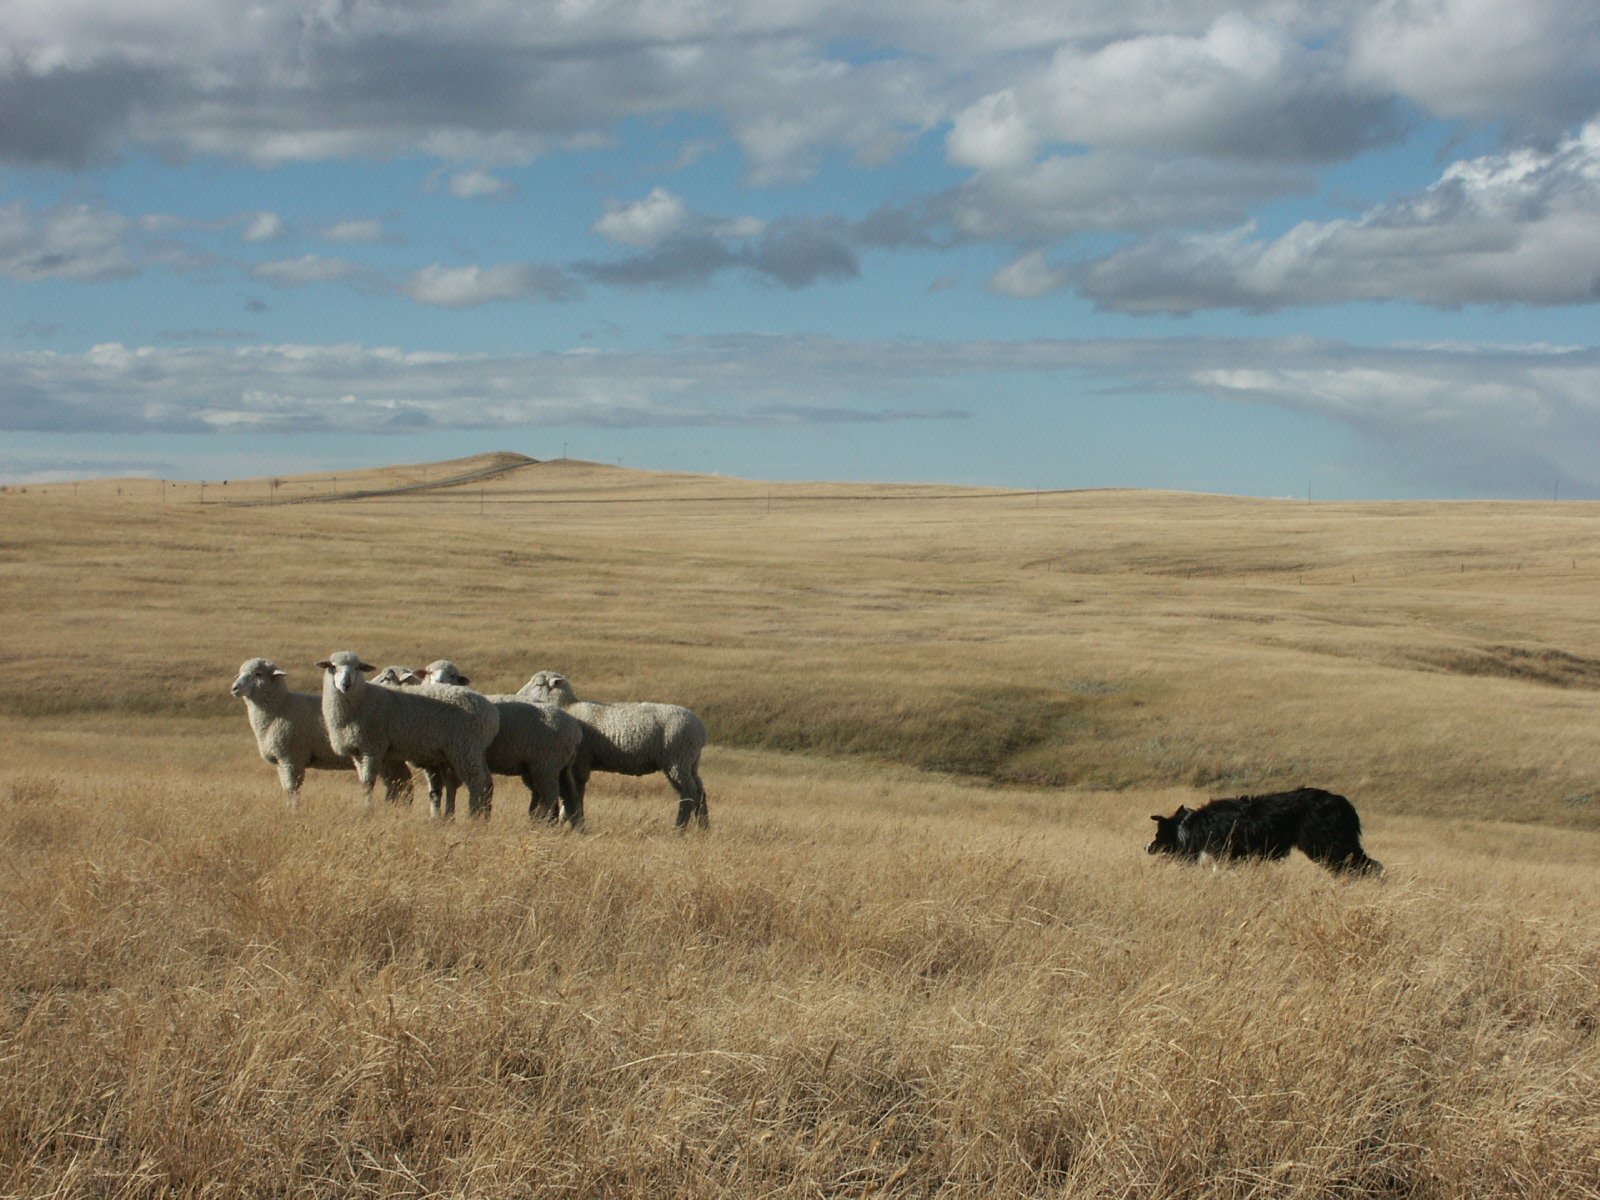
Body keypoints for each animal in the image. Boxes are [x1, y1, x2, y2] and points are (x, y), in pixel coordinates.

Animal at [233, 662, 419, 812]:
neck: (280, 707)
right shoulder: (282, 760)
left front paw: (293, 812)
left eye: (258, 674)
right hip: (391, 758)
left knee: (400, 785)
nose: (234, 688)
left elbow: (293, 790)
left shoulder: (292, 757)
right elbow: (286, 789)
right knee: (401, 785)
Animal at [318, 659, 499, 819]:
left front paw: (369, 811)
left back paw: (473, 816)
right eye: (333, 667)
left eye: (386, 679)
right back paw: (481, 816)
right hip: (471, 751)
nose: (345, 684)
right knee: (486, 782)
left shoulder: (373, 747)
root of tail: (491, 712)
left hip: (465, 749)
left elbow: (375, 783)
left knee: (477, 782)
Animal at [422, 662, 585, 825]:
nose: (438, 683)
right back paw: (575, 825)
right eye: (429, 673)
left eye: (452, 675)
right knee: (570, 795)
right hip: (559, 767)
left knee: (551, 796)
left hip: (547, 764)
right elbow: (438, 790)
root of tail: (575, 730)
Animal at [518, 672, 707, 832]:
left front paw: (568, 819)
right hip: (691, 761)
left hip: (677, 760)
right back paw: (703, 827)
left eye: (538, 684)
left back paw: (680, 828)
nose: (518, 695)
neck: (569, 706)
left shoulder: (580, 763)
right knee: (699, 790)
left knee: (689, 792)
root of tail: (700, 728)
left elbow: (576, 793)